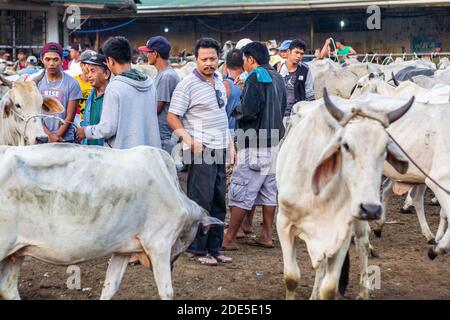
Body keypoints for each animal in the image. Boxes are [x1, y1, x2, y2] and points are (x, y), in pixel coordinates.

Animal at [0, 144, 220, 298]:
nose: (173, 264)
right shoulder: (159, 244)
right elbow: (167, 291)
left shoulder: (123, 249)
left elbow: (110, 286)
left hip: (16, 251)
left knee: (8, 288)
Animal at [278, 88, 412, 300]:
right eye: (346, 145)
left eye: (385, 148)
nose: (371, 208)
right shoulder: (284, 224)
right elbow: (292, 277)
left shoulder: (341, 232)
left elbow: (329, 288)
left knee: (363, 242)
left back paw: (364, 291)